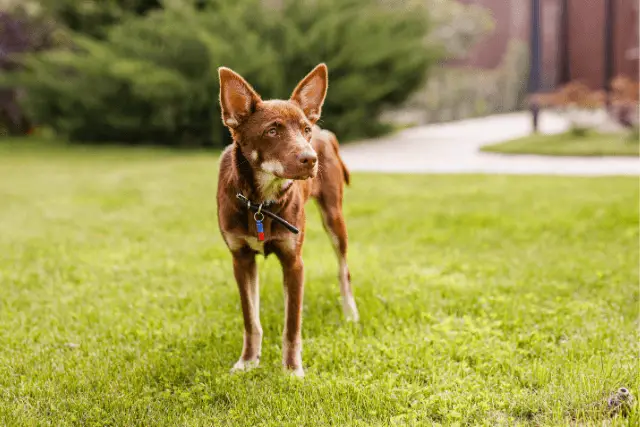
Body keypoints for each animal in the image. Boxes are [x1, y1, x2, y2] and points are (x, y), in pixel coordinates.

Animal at [216, 63, 358, 378]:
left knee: (343, 270)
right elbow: (251, 319)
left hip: (335, 219)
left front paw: (292, 369)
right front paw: (248, 361)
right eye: (271, 131)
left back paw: (350, 313)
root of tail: (325, 131)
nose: (311, 159)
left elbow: (292, 324)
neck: (261, 201)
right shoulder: (240, 259)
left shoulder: (294, 262)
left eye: (304, 130)